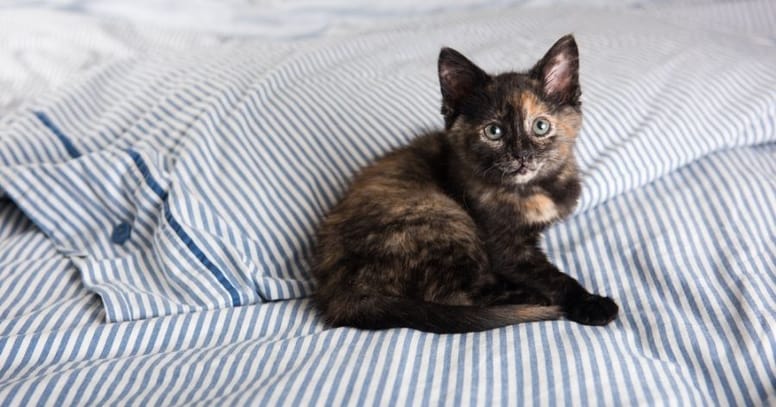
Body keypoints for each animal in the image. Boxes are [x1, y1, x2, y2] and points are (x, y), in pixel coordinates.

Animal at [310, 35, 620, 334]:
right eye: (493, 131)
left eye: (540, 126)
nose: (521, 155)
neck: (530, 189)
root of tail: (340, 295)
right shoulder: (505, 247)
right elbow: (550, 277)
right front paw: (590, 303)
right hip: (441, 215)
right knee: (459, 294)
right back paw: (532, 299)